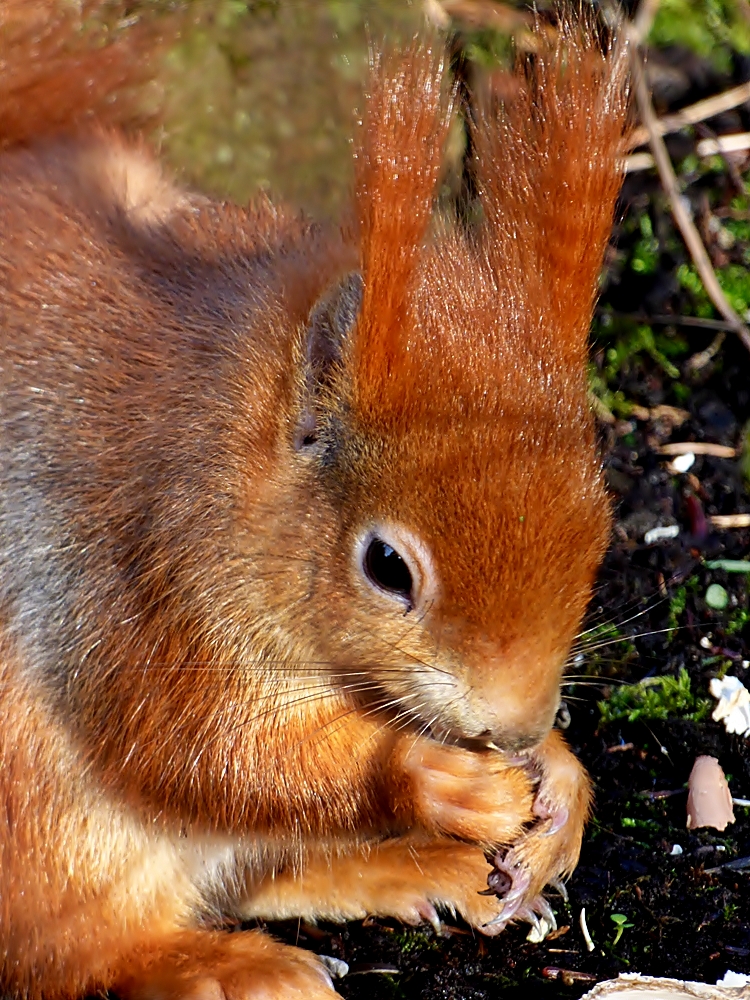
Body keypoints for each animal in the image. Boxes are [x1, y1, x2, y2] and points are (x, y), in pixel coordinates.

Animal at [0, 3, 632, 996]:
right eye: (386, 567)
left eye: (599, 526)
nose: (517, 722)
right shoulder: (128, 577)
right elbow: (193, 747)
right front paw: (435, 777)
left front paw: (559, 780)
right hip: (49, 834)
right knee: (78, 951)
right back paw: (219, 963)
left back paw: (411, 865)